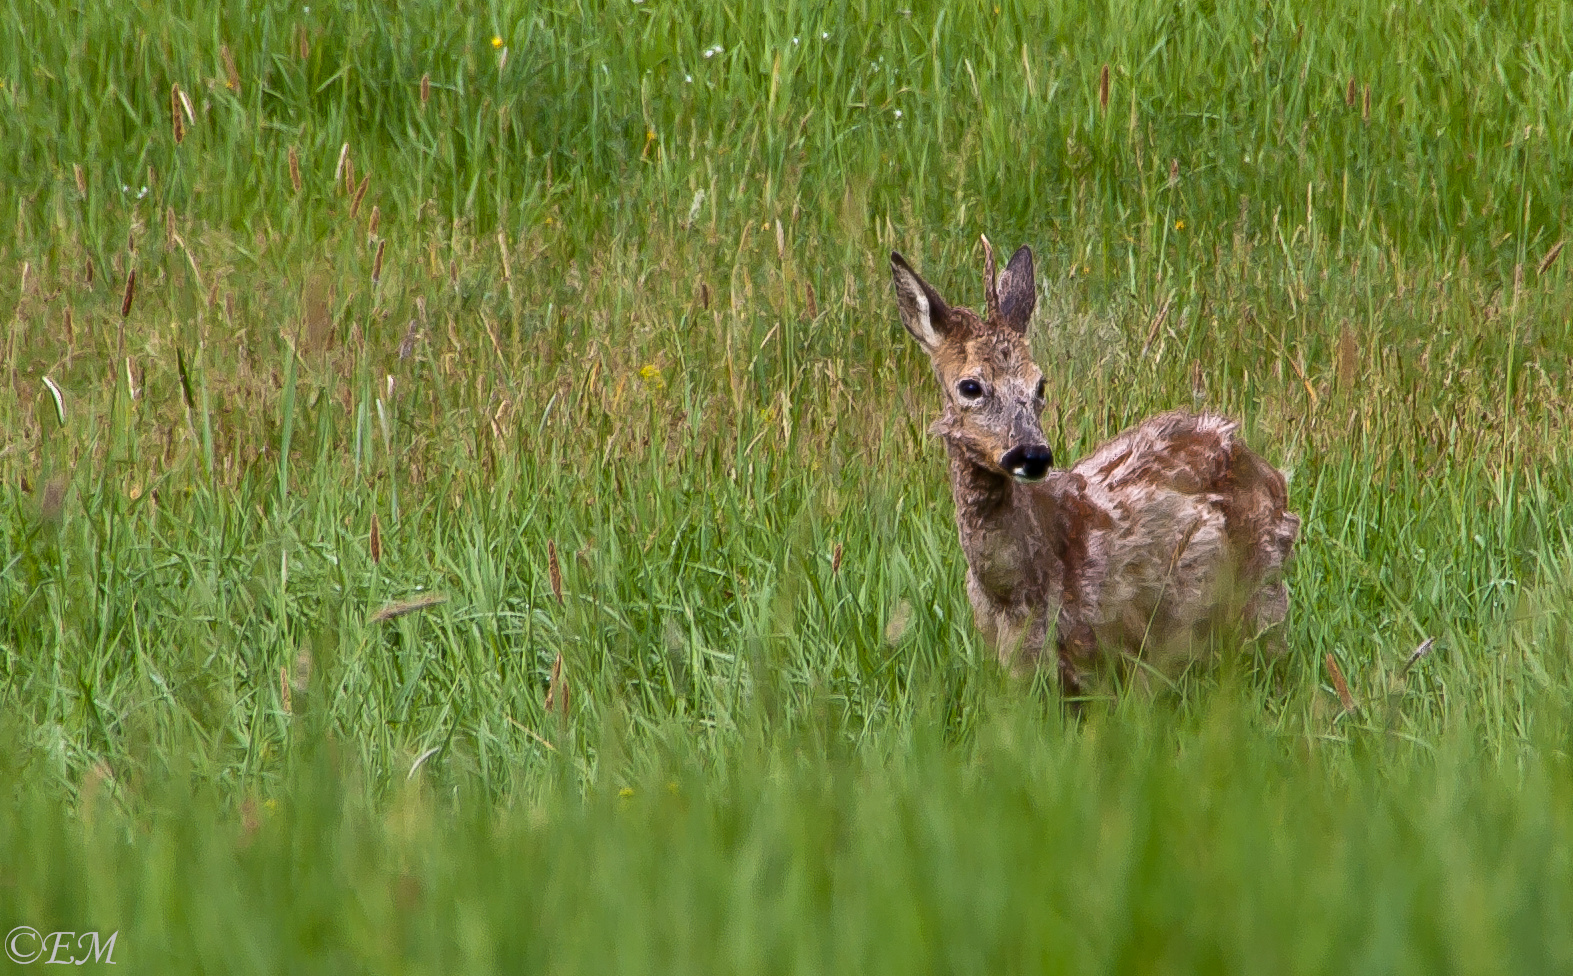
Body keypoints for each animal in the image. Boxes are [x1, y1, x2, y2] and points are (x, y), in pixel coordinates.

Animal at [893, 237, 1296, 692]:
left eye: (1040, 383)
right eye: (970, 386)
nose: (1032, 455)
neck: (1010, 594)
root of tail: (1266, 469)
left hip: (1259, 589)